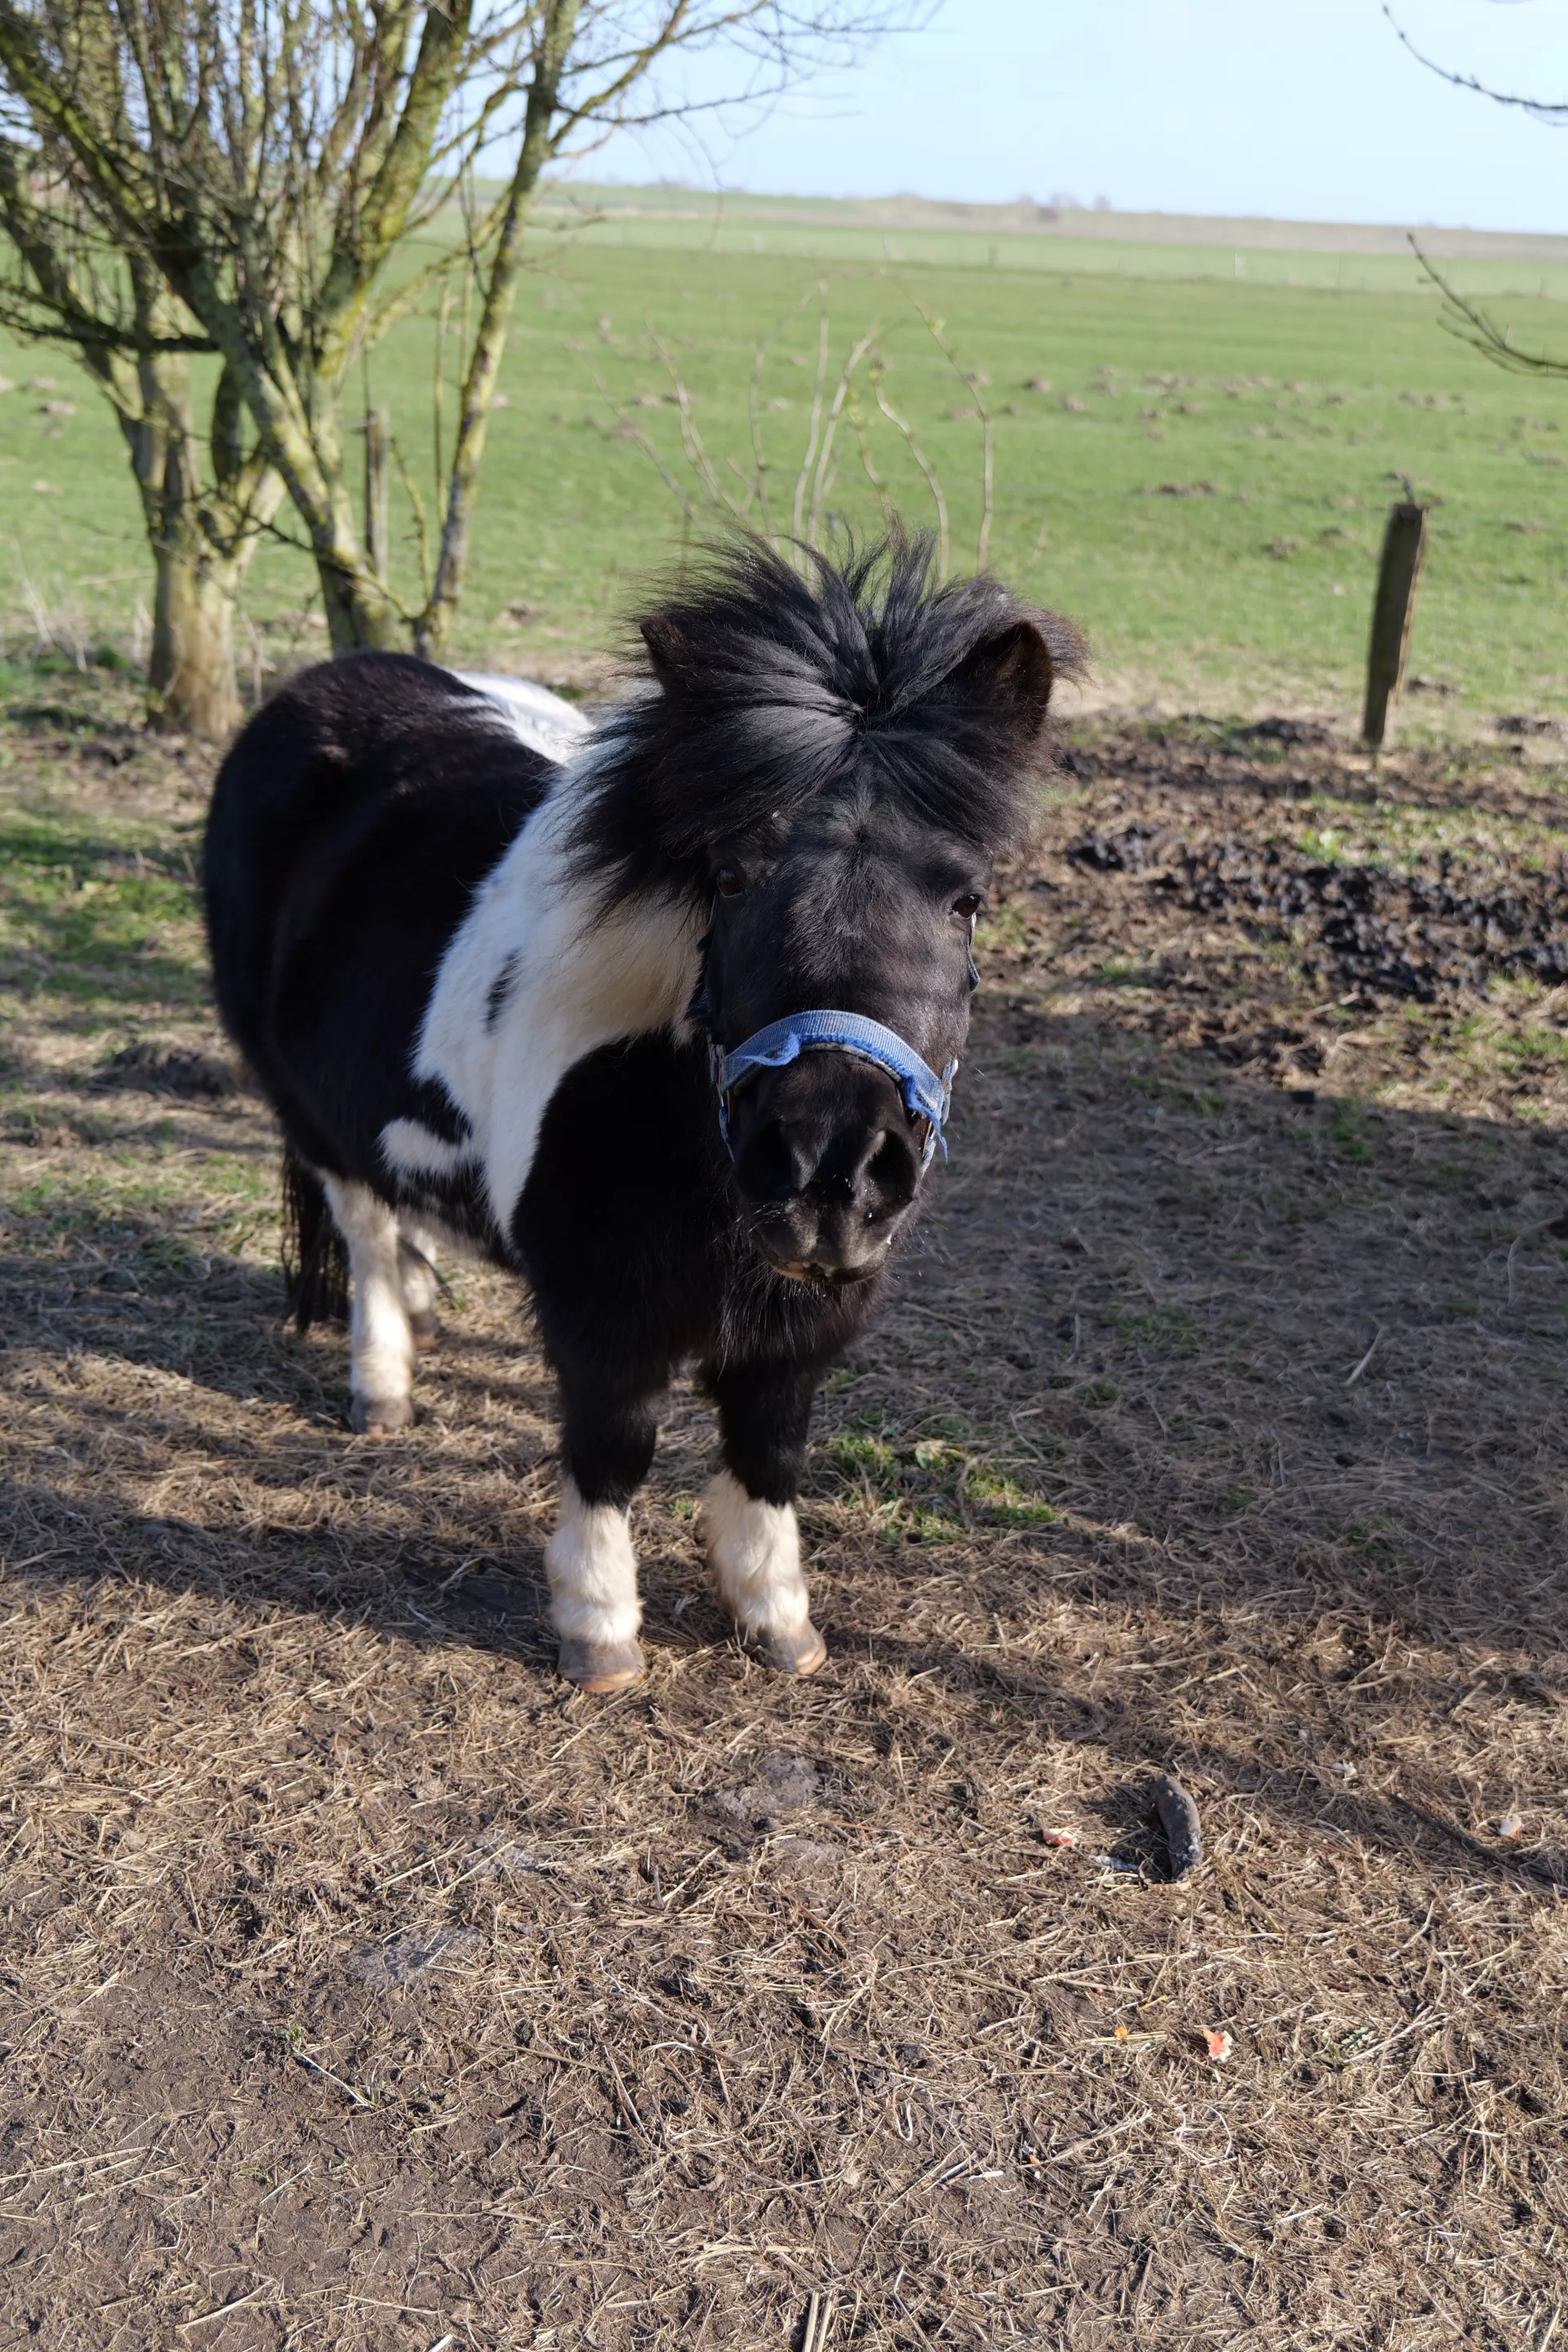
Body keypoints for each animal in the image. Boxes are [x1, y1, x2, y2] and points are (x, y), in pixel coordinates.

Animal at [203, 537, 1084, 1694]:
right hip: (309, 1116)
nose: (830, 1166)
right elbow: (612, 1449)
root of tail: (312, 689)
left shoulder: (808, 1315)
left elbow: (768, 1449)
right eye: (729, 874)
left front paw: (774, 1614)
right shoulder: (599, 1306)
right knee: (364, 1231)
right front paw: (601, 1627)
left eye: (966, 898)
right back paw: (385, 1380)